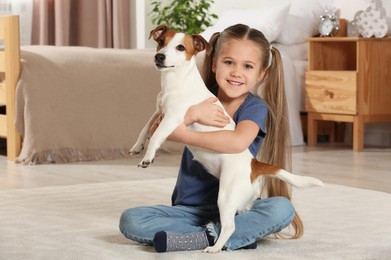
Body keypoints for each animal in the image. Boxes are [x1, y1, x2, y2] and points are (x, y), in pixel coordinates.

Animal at [129, 25, 324, 253]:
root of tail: (254, 165)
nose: (159, 56)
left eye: (180, 47)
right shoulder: (159, 111)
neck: (176, 81)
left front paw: (147, 157)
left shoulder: (174, 118)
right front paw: (137, 146)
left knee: (230, 226)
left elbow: (157, 134)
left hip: (226, 194)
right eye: (161, 42)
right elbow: (146, 128)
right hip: (241, 200)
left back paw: (214, 247)